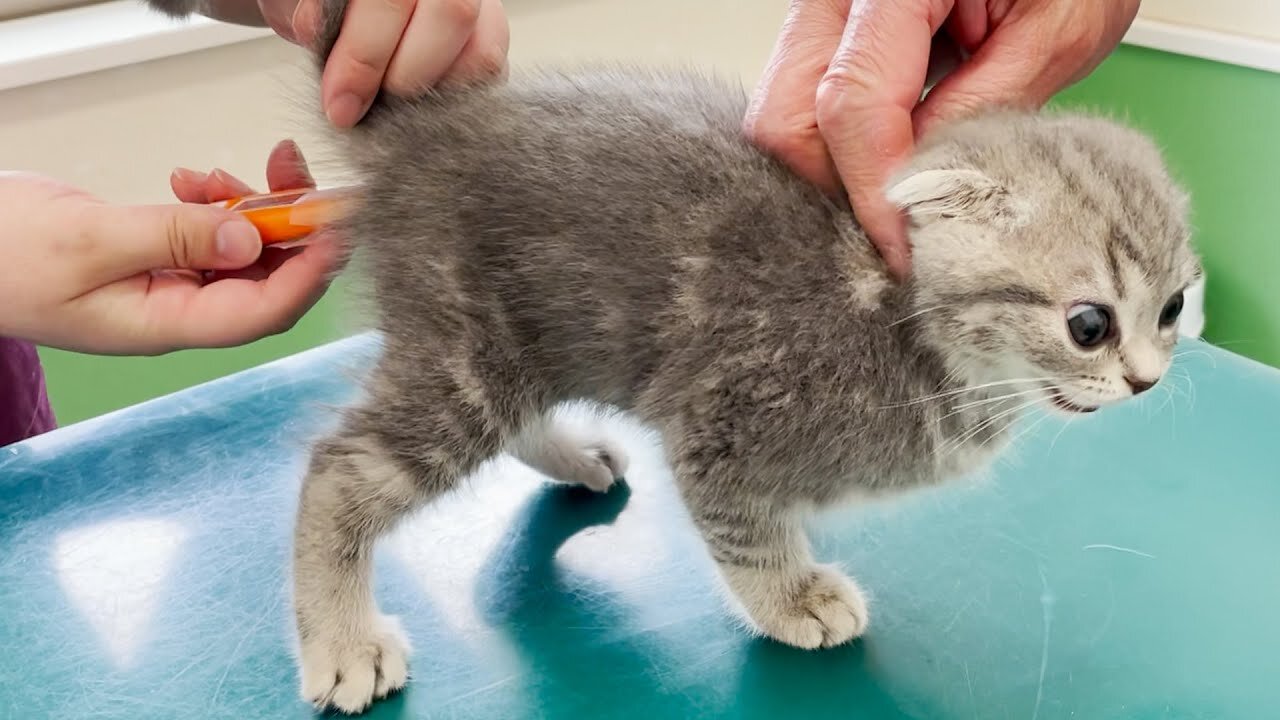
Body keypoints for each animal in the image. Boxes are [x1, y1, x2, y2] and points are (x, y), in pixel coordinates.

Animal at [147, 0, 1198, 707]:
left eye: (1175, 306)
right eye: (1090, 324)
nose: (1148, 380)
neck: (912, 333)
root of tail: (427, 131)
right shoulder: (722, 423)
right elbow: (746, 530)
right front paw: (792, 598)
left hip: (515, 338)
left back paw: (570, 456)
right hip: (469, 352)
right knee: (342, 467)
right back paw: (343, 641)